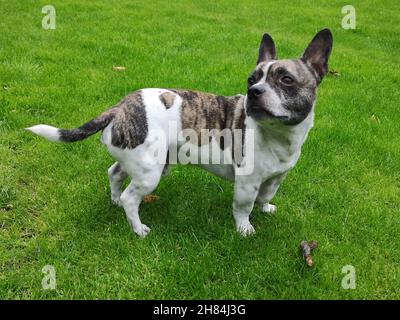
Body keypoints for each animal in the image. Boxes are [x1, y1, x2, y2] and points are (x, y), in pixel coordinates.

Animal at [28, 29, 332, 238]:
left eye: (286, 80)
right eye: (251, 80)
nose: (253, 92)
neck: (279, 134)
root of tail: (118, 108)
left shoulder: (276, 177)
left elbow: (267, 195)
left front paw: (265, 208)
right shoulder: (247, 183)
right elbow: (244, 207)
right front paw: (244, 228)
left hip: (139, 160)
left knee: (114, 173)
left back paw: (114, 201)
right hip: (150, 172)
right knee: (130, 198)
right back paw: (138, 229)